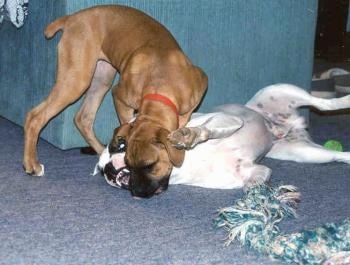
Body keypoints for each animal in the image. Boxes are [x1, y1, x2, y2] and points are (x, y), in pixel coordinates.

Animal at [23, 4, 206, 194]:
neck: (162, 85)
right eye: (129, 163)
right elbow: (126, 122)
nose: (135, 190)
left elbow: (182, 120)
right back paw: (32, 164)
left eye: (150, 165)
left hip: (101, 78)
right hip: (77, 80)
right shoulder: (119, 97)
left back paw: (100, 150)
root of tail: (72, 18)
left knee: (83, 118)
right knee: (36, 116)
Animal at [94, 84, 350, 190]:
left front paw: (188, 135)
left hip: (279, 90)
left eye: (120, 145)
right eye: (101, 169)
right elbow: (260, 176)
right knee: (339, 154)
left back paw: (343, 99)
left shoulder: (227, 120)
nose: (109, 169)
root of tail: (283, 126)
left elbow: (204, 130)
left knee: (324, 104)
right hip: (304, 152)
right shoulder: (248, 170)